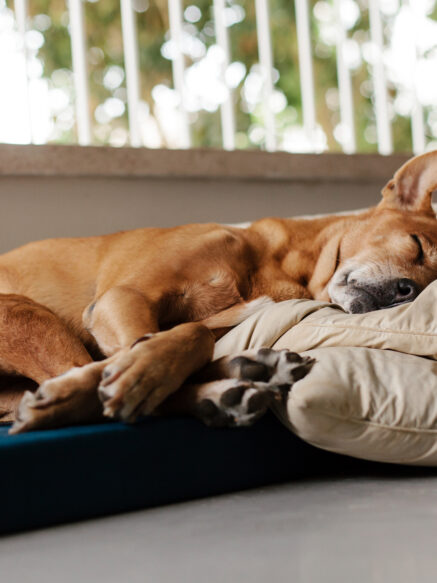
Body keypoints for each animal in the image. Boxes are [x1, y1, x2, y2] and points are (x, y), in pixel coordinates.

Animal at [2, 150, 437, 434]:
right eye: (416, 245)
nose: (410, 290)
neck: (281, 266)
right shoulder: (124, 296)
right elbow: (179, 338)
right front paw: (142, 373)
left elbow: (194, 337)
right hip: (23, 312)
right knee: (73, 371)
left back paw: (242, 376)